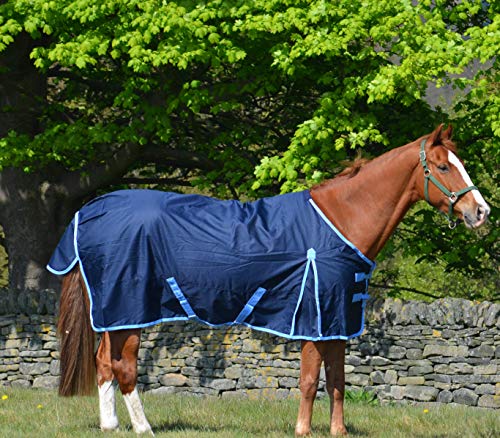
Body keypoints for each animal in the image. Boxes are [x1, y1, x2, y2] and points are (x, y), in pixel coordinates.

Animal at [51, 124, 488, 434]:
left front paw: (337, 432)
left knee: (104, 364)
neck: (342, 220)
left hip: (115, 313)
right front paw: (302, 431)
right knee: (124, 368)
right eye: (444, 166)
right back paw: (144, 429)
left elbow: (338, 380)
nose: (481, 211)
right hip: (131, 308)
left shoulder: (337, 319)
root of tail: (91, 211)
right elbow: (310, 380)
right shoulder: (314, 316)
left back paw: (111, 426)